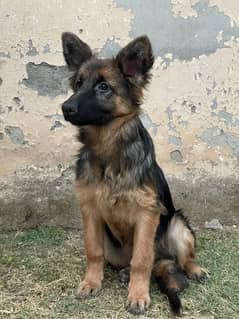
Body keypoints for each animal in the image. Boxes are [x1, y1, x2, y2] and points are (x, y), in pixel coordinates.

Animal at [60, 33, 208, 318]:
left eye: (103, 87)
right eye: (78, 84)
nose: (66, 107)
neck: (108, 150)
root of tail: (164, 259)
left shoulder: (147, 213)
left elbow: (141, 259)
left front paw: (138, 295)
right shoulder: (89, 210)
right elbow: (93, 251)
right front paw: (91, 282)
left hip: (177, 225)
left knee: (177, 258)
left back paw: (193, 269)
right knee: (126, 261)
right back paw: (124, 273)